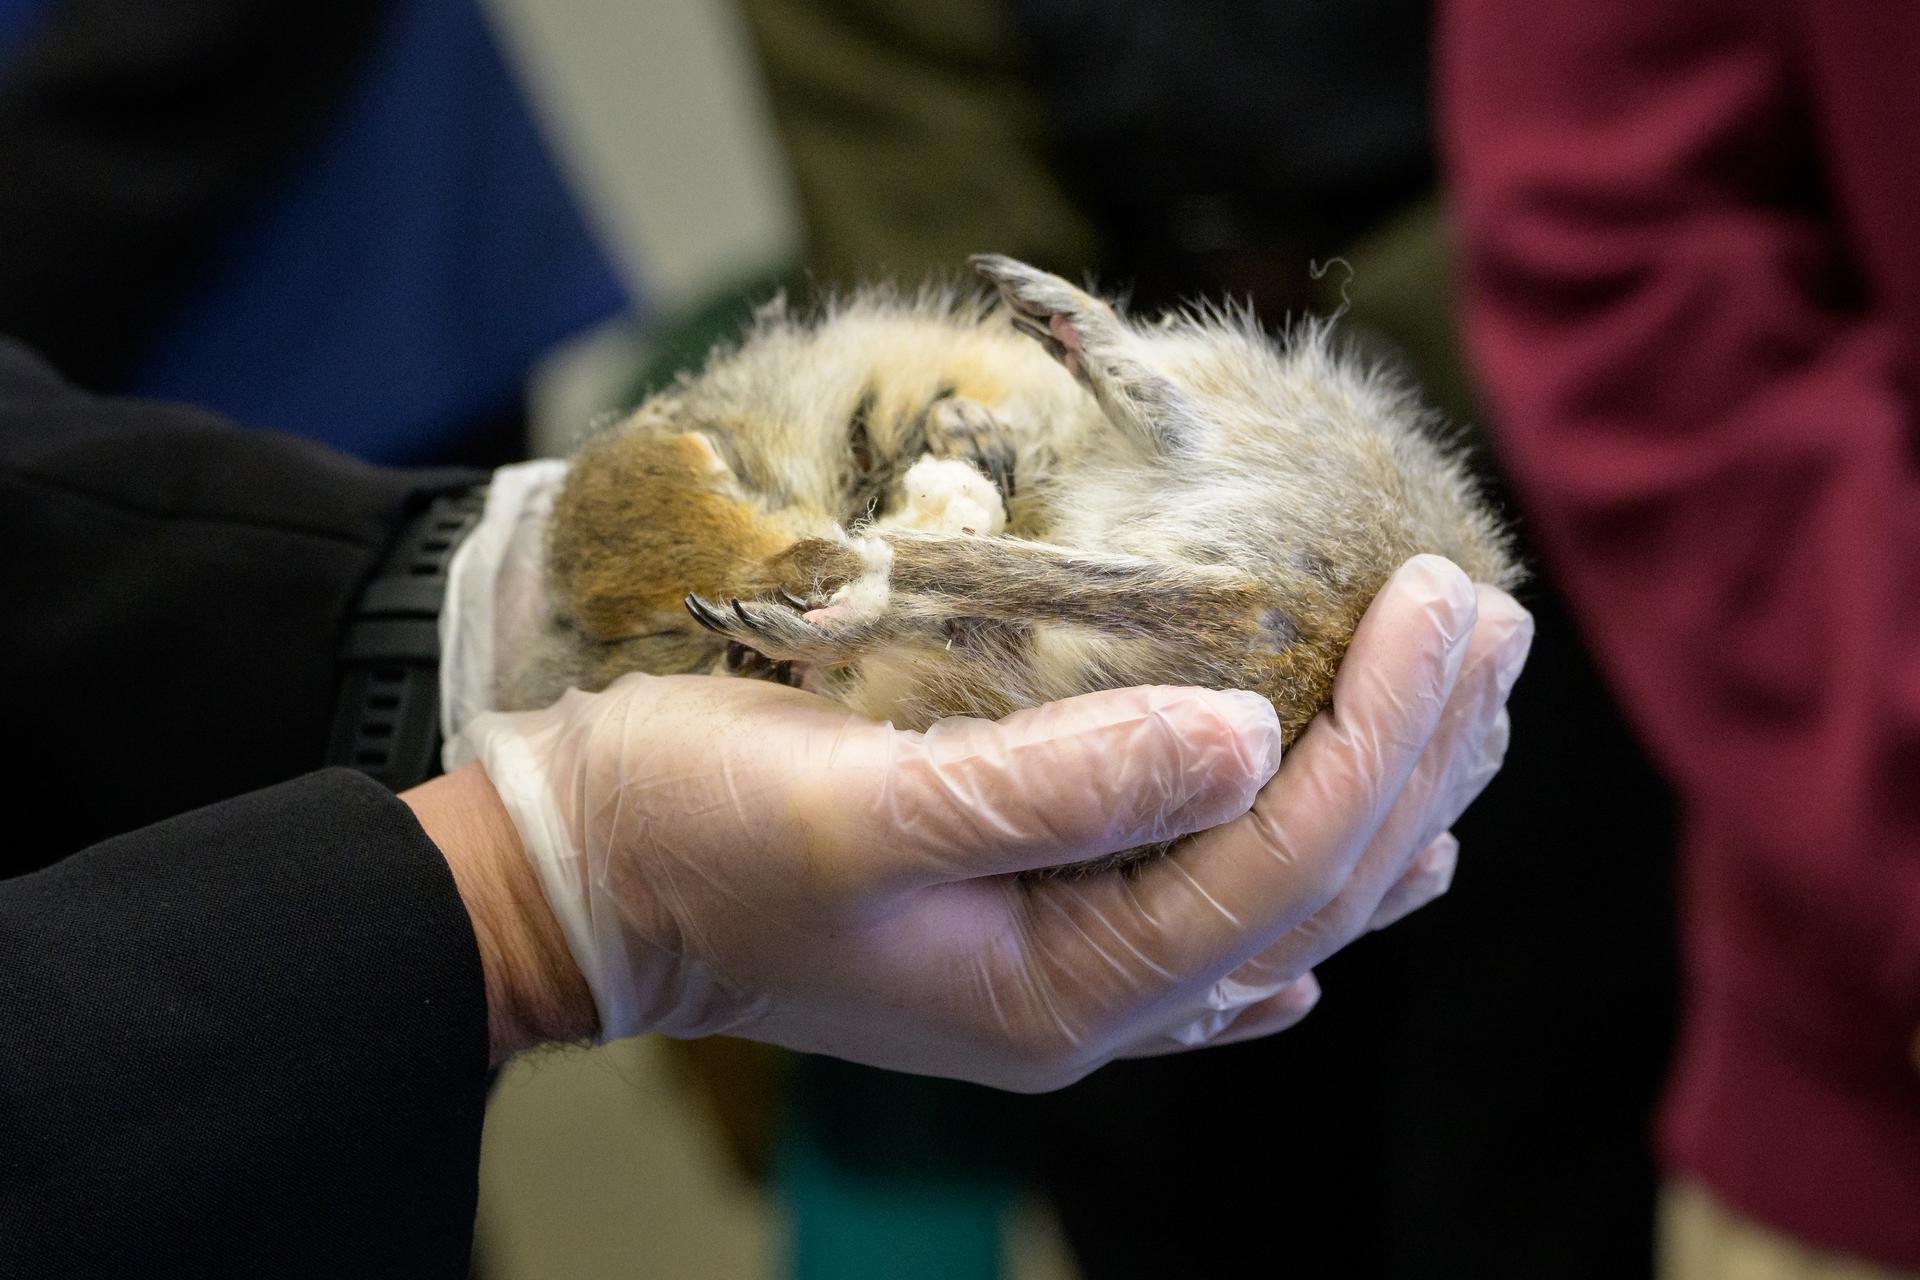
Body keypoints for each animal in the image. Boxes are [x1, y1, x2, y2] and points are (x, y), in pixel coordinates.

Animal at [510, 254, 1520, 783]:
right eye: (640, 636)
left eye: (734, 466)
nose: (801, 563)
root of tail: (1314, 628)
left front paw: (956, 437)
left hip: (1255, 407)